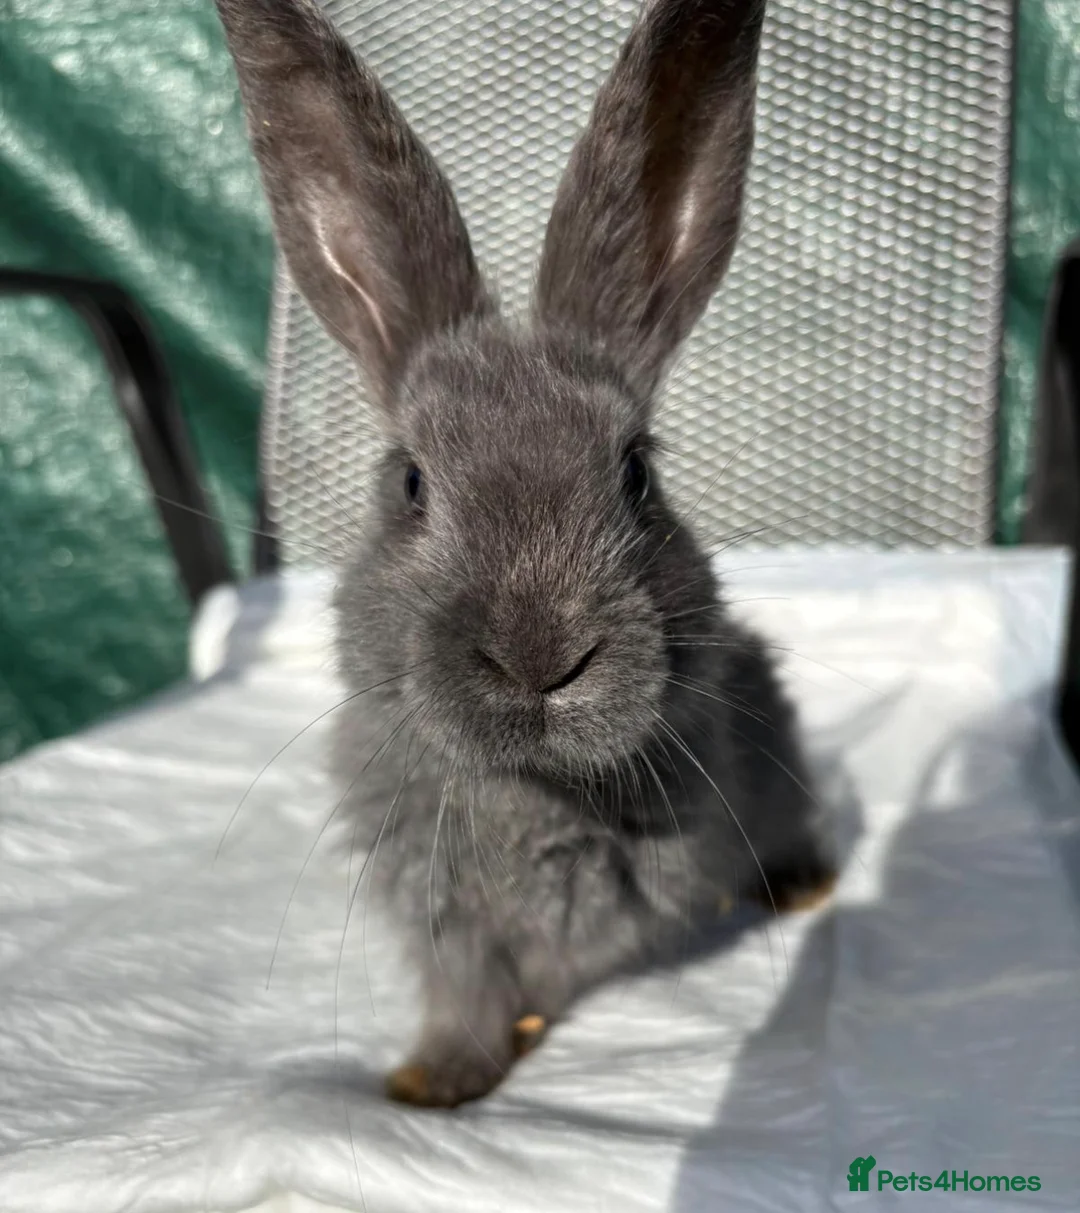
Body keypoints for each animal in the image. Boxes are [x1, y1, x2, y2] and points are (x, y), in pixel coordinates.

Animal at [215, 0, 837, 1108]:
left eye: (636, 473)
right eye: (411, 483)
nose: (540, 656)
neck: (533, 785)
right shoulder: (445, 921)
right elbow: (468, 994)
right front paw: (434, 1079)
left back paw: (804, 882)